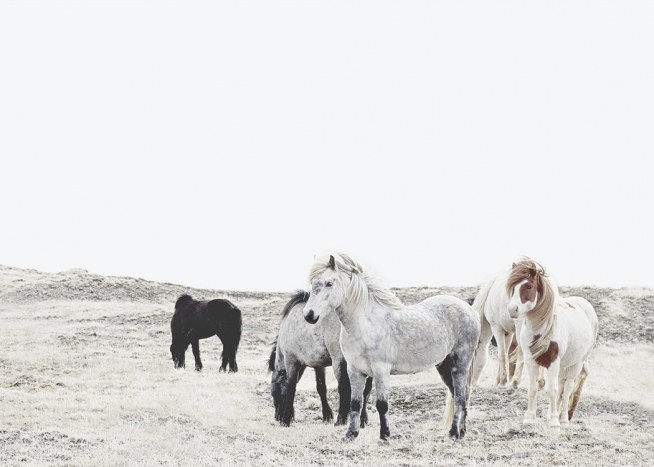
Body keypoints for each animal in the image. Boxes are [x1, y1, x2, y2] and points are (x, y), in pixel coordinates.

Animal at [269, 291, 372, 427]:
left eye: (274, 394)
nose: (277, 417)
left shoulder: (291, 361)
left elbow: (290, 387)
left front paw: (285, 420)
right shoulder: (318, 365)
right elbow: (321, 388)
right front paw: (327, 415)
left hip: (339, 360)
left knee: (345, 387)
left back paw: (341, 420)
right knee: (366, 390)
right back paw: (362, 420)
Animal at [303, 253, 480, 441]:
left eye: (329, 283)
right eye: (312, 283)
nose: (309, 315)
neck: (365, 325)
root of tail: (470, 310)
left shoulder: (381, 370)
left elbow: (382, 404)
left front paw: (385, 435)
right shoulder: (355, 370)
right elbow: (355, 404)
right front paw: (351, 434)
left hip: (459, 365)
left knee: (460, 397)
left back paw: (453, 433)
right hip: (444, 366)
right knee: (460, 395)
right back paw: (462, 432)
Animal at [507, 258, 598, 426]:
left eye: (528, 286)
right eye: (513, 287)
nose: (512, 310)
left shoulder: (553, 361)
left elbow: (552, 390)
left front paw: (554, 421)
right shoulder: (531, 360)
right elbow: (533, 388)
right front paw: (529, 418)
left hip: (576, 364)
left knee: (567, 388)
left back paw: (563, 419)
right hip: (563, 364)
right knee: (562, 384)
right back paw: (552, 414)